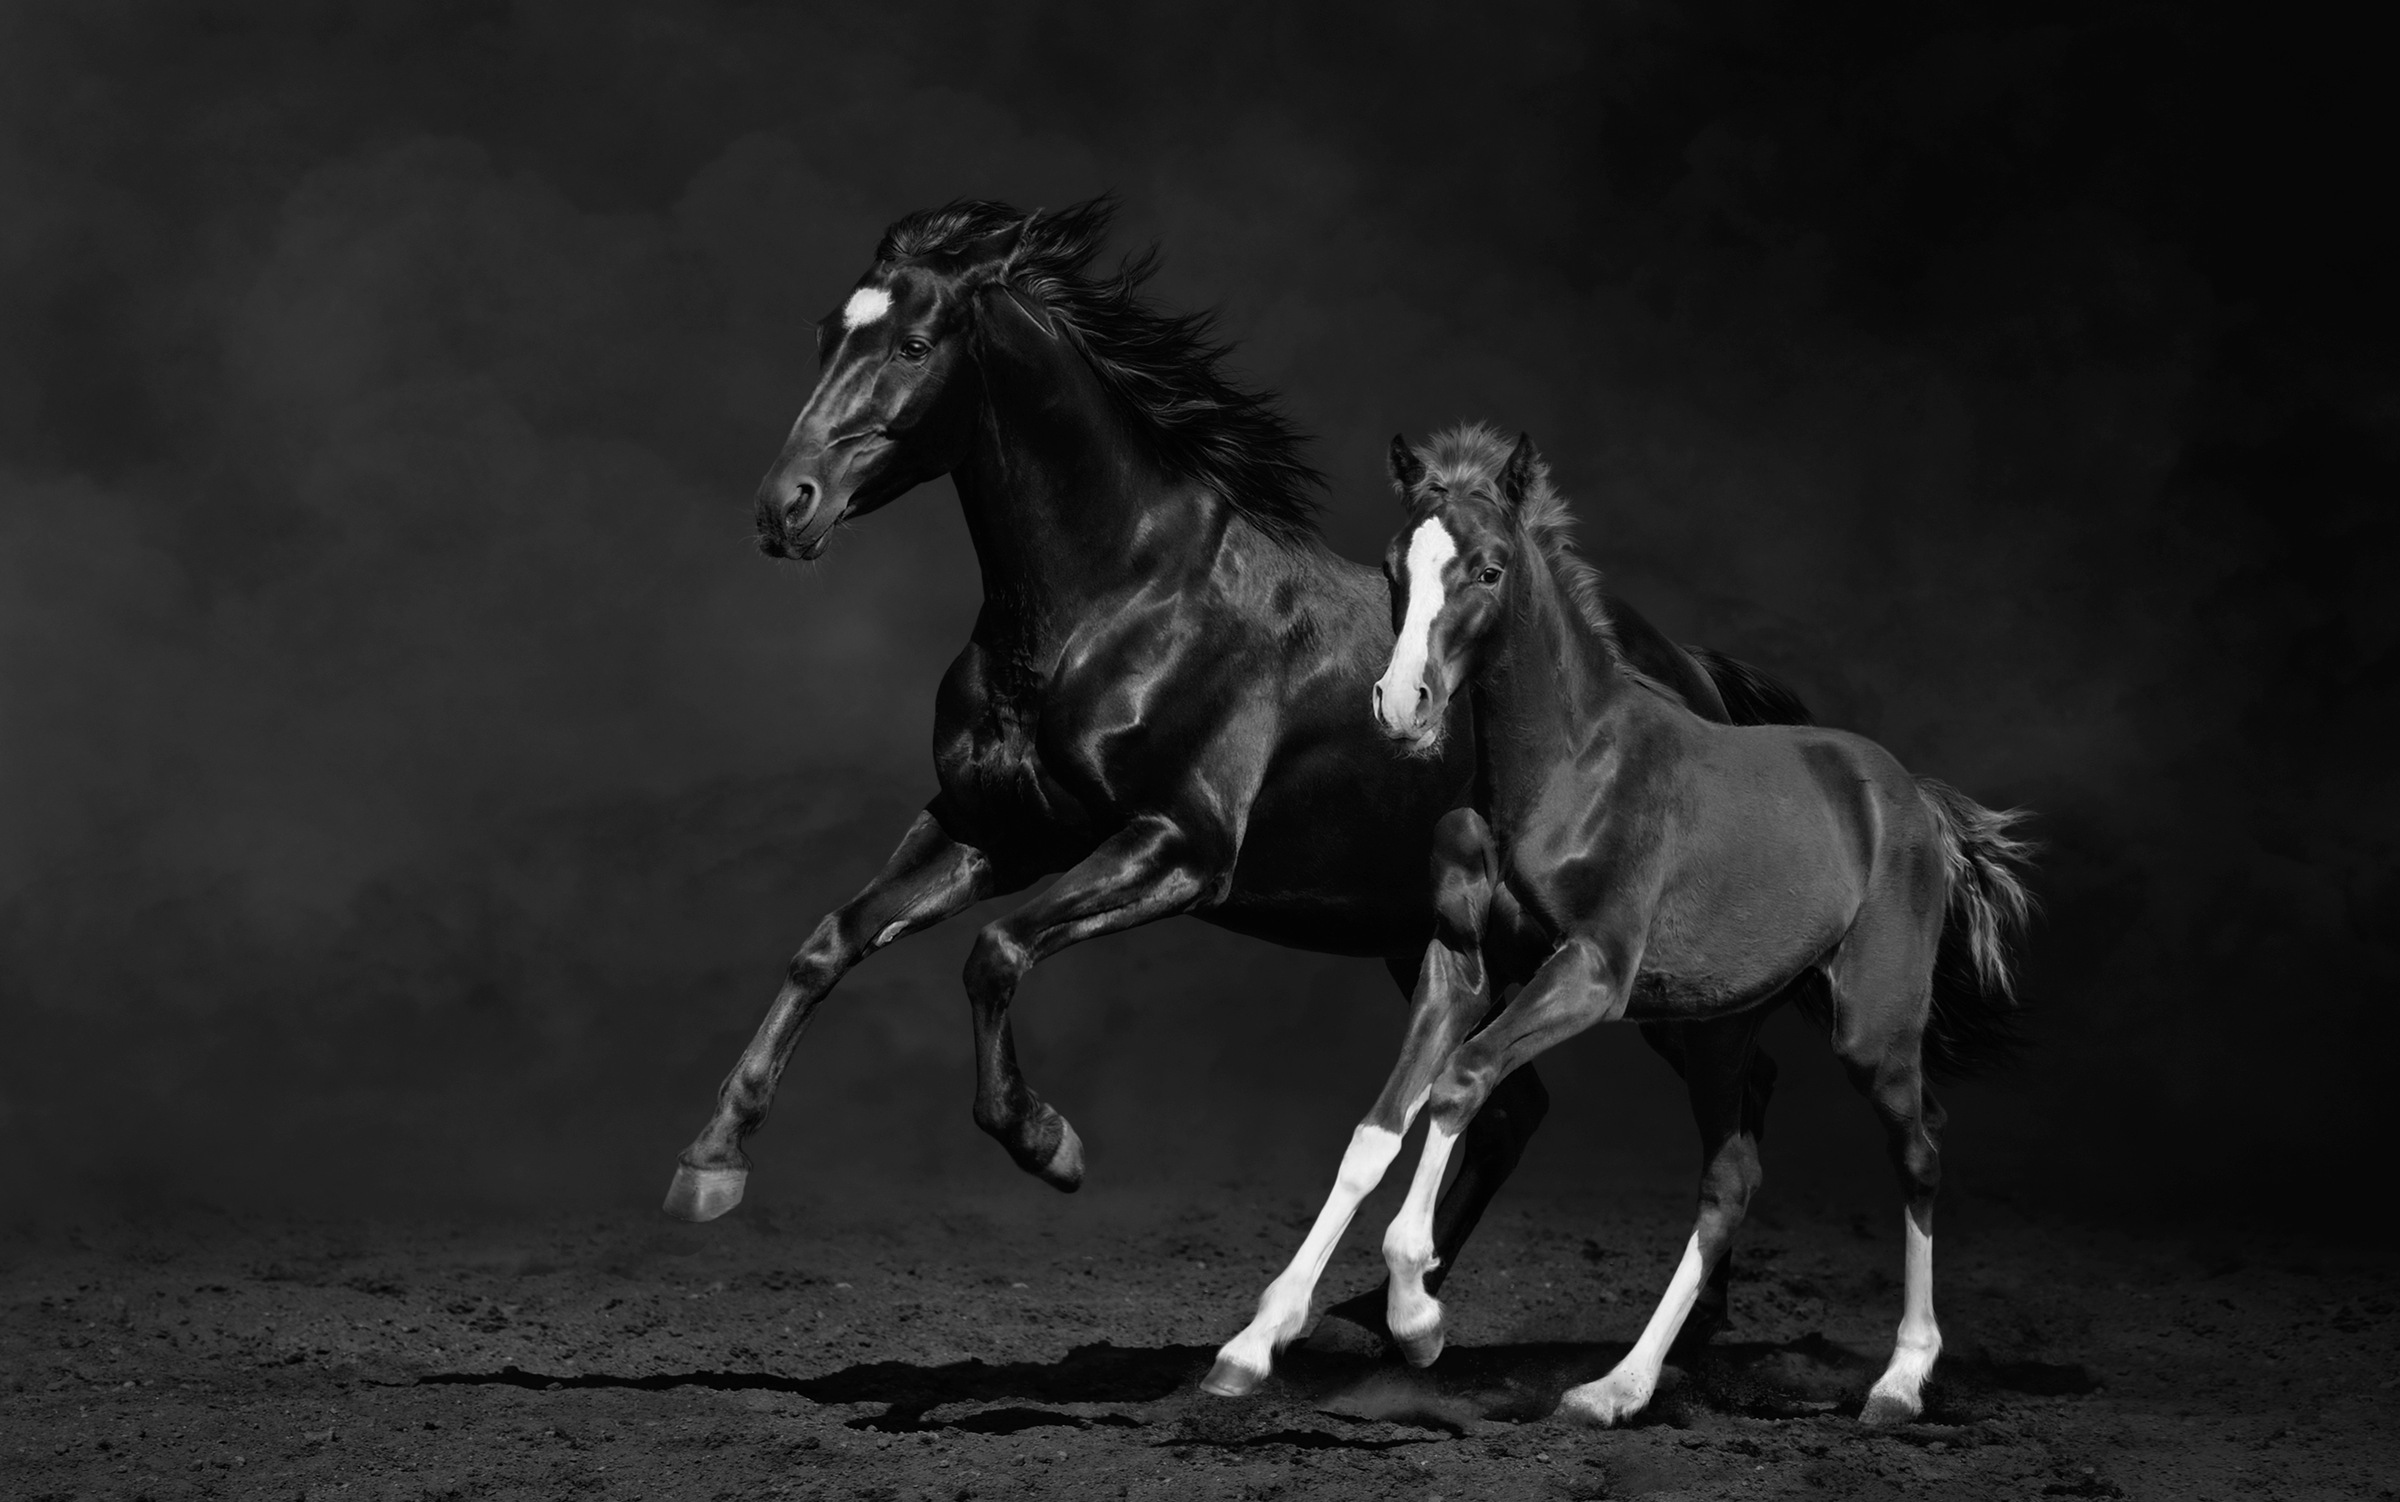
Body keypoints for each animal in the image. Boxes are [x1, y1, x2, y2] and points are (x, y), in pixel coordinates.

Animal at [662, 197, 1812, 1345]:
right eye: (826, 334)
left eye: (910, 344)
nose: (785, 505)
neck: (1120, 598)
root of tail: (1694, 675)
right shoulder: (994, 828)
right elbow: (830, 942)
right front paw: (711, 1164)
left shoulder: (1178, 846)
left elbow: (995, 952)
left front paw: (1049, 1142)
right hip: (1425, 937)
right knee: (1514, 1108)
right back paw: (1381, 1312)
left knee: (1737, 1093)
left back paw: (1685, 1325)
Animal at [1208, 426, 2035, 1424]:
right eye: (1393, 566)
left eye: (1488, 570)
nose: (1402, 705)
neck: (1564, 772)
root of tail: (1914, 796)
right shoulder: (1458, 965)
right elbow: (1377, 1130)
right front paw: (1254, 1343)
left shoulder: (1593, 972)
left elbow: (1460, 1080)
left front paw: (1416, 1316)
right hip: (1720, 1027)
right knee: (1731, 1180)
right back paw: (1616, 1387)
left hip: (1871, 1027)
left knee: (1917, 1150)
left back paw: (1903, 1379)